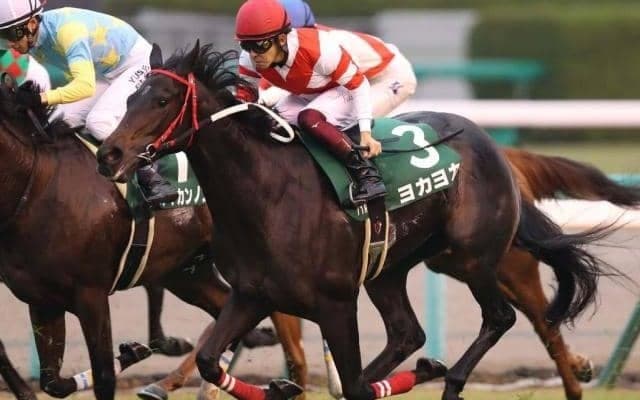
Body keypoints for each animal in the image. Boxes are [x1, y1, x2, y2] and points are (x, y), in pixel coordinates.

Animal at [0, 73, 306, 400]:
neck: (37, 185)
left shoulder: (90, 294)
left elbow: (104, 375)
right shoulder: (42, 299)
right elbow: (52, 382)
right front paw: (135, 351)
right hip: (186, 271)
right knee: (227, 310)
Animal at [97, 42, 620, 400]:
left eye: (162, 99)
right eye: (130, 97)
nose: (109, 155)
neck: (268, 195)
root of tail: (492, 145)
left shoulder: (335, 304)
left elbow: (345, 379)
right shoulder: (252, 293)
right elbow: (209, 357)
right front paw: (279, 387)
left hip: (471, 258)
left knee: (500, 317)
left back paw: (450, 378)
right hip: (390, 268)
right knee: (408, 333)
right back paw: (417, 371)